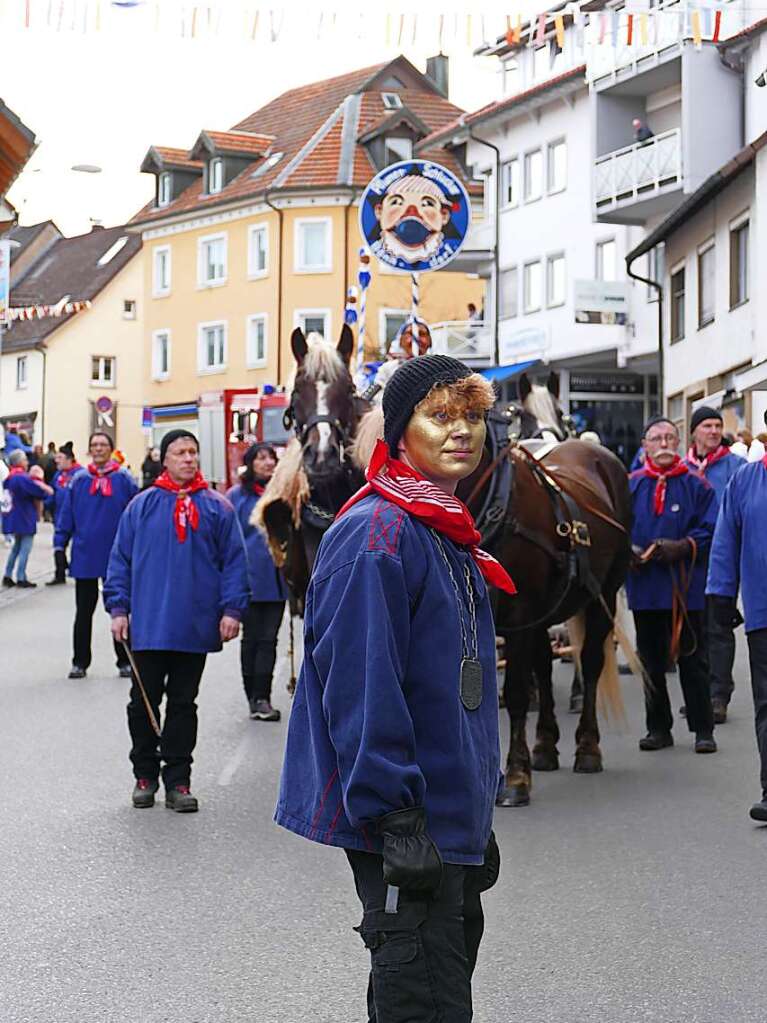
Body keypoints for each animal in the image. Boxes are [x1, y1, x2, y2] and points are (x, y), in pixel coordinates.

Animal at [460, 370, 634, 806]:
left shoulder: (519, 612)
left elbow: (518, 692)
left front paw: (515, 776)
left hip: (604, 594)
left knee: (590, 662)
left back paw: (587, 747)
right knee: (542, 660)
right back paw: (544, 745)